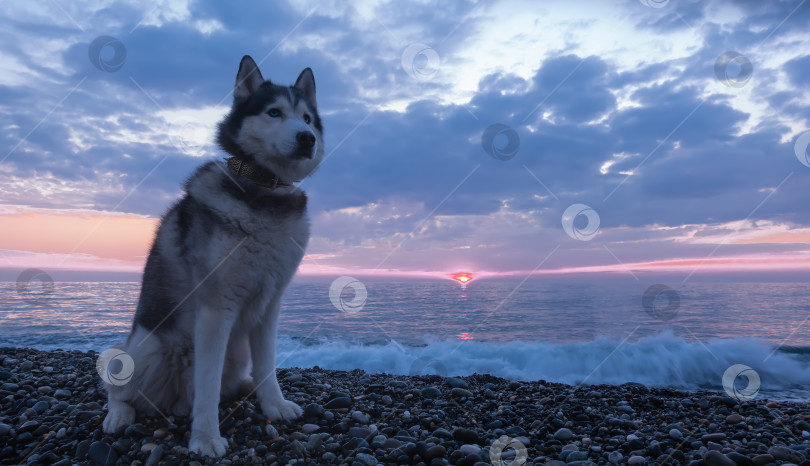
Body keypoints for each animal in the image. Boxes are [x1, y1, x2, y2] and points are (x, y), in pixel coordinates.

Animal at [102, 56, 324, 456]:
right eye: (274, 112)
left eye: (308, 118)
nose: (307, 138)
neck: (264, 190)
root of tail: (174, 403)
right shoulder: (216, 308)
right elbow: (207, 383)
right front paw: (205, 437)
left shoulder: (270, 303)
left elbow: (267, 364)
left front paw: (274, 403)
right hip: (146, 347)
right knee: (118, 386)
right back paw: (119, 414)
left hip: (235, 355)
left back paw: (247, 388)